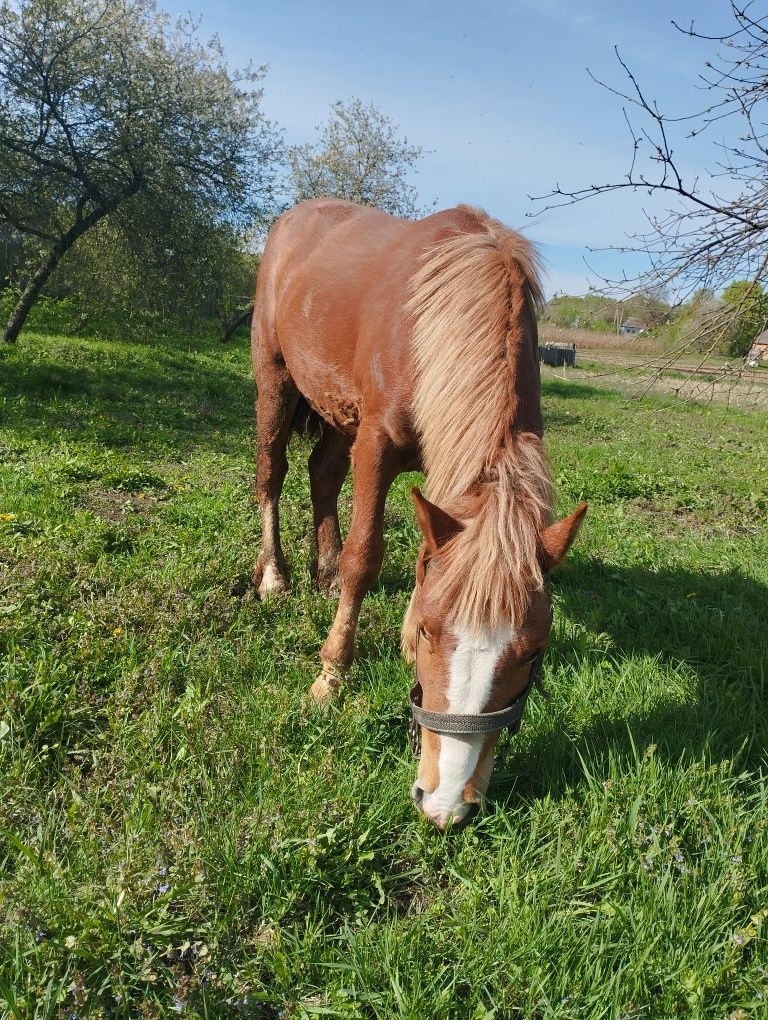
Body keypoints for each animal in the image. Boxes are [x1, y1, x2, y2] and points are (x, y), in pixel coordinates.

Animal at [251, 198, 587, 828]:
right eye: (435, 632)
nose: (446, 801)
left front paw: (396, 634)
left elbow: (428, 552)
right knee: (272, 474)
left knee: (321, 474)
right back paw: (275, 576)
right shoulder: (376, 445)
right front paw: (331, 675)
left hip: (338, 414)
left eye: (535, 651)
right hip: (277, 383)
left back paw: (321, 568)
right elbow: (365, 556)